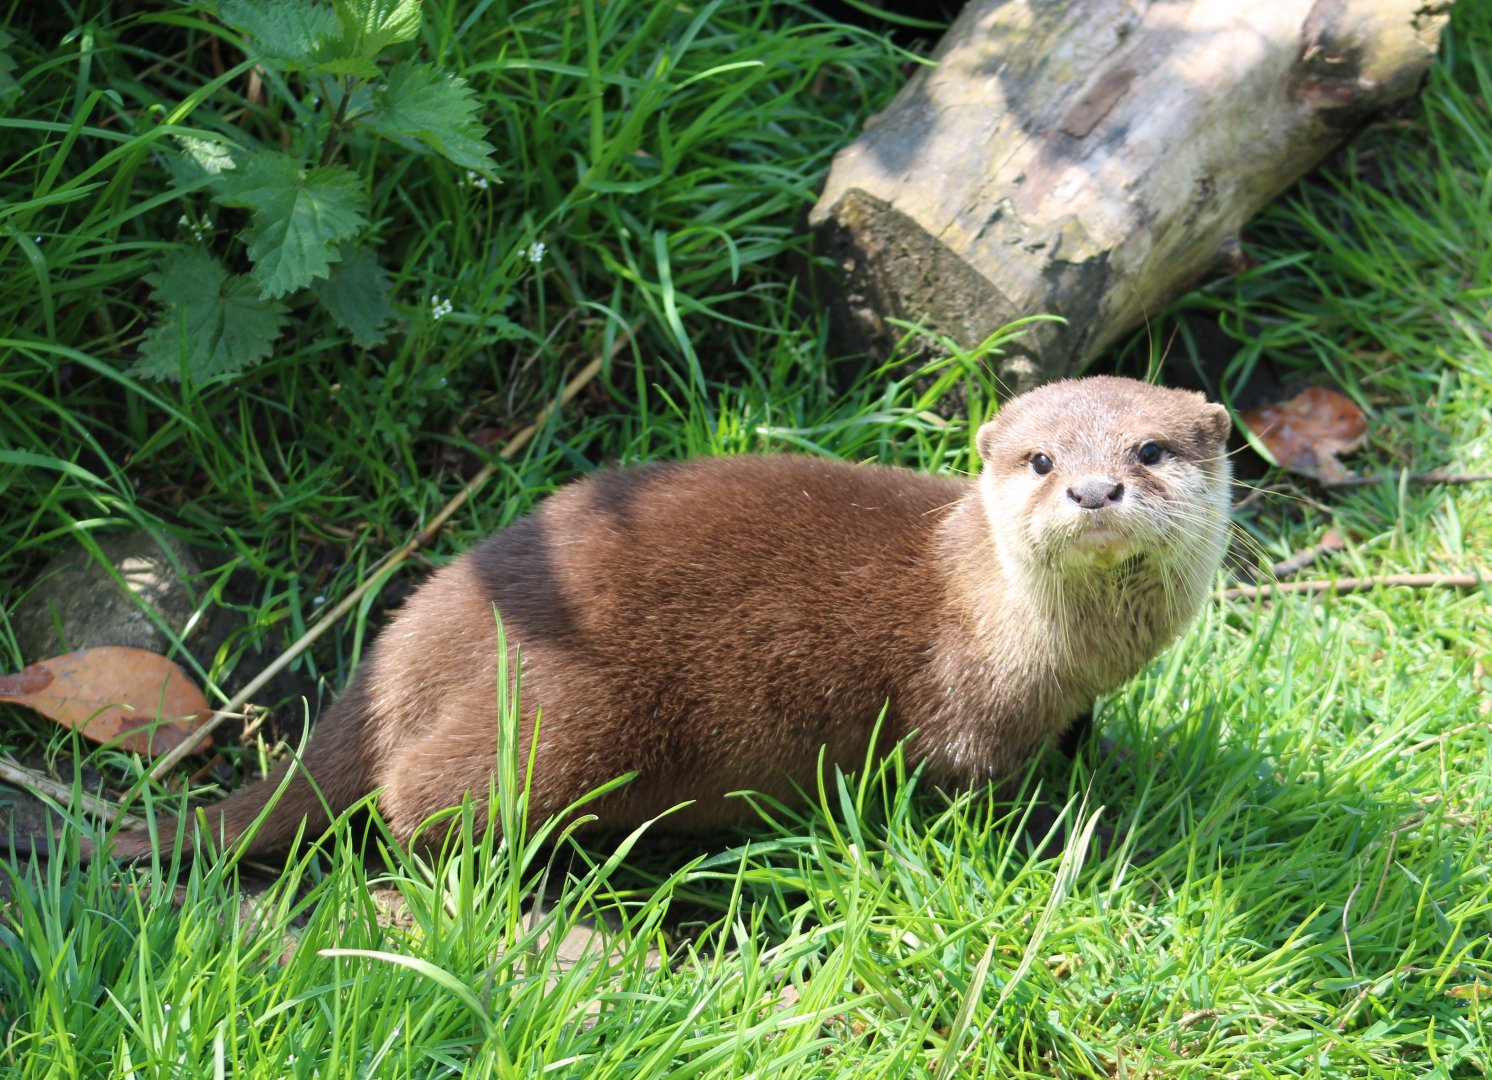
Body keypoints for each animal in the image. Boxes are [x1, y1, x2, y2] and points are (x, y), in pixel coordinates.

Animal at [102, 376, 1231, 861]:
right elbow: (971, 784)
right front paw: (1050, 832)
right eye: (1039, 458)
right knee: (415, 802)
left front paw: (1096, 764)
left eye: (1149, 450)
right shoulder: (963, 709)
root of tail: (404, 646)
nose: (1092, 489)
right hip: (567, 715)